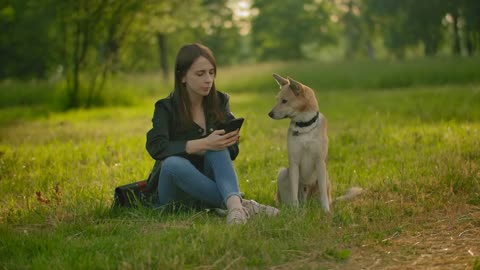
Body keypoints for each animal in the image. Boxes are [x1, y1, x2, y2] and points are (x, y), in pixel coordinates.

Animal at [268, 73, 362, 213]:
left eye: (284, 101)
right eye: (277, 99)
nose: (270, 114)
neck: (305, 127)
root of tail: (307, 203)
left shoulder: (319, 162)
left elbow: (323, 192)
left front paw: (326, 211)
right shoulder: (294, 163)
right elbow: (294, 191)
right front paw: (295, 211)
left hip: (325, 176)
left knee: (325, 194)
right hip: (283, 173)